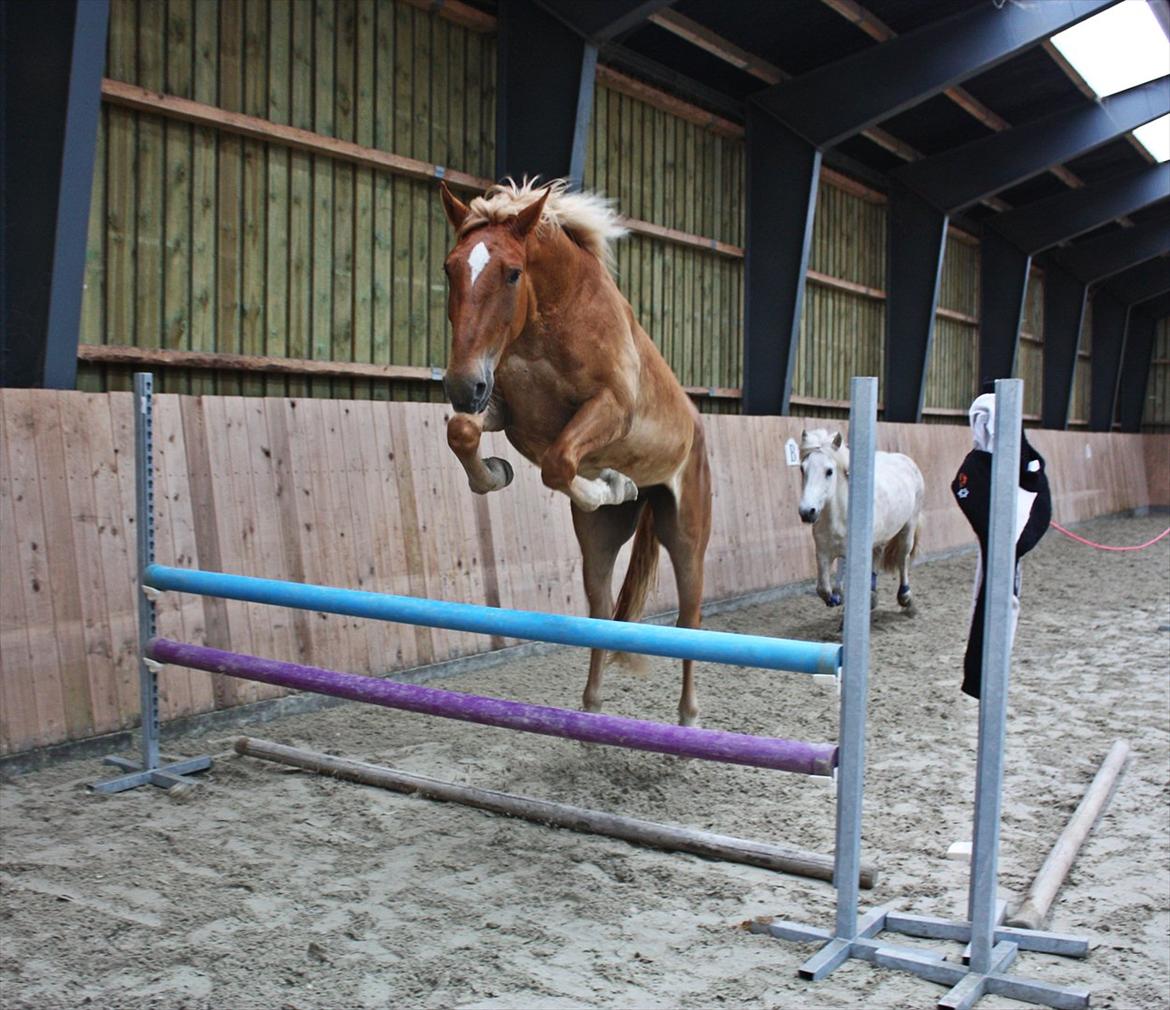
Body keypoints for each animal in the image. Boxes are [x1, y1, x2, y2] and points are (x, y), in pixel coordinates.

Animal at [439, 175, 711, 725]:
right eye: (449, 268)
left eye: (513, 273)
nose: (459, 385)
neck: (549, 323)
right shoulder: (500, 402)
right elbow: (463, 432)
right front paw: (495, 473)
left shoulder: (611, 408)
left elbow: (558, 461)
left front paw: (609, 484)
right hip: (599, 543)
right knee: (601, 609)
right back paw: (590, 712)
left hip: (687, 536)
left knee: (691, 618)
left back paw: (689, 719)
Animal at [800, 428, 926, 613]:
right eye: (803, 469)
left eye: (829, 471)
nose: (807, 512)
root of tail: (908, 461)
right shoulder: (822, 552)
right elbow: (823, 589)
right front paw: (836, 598)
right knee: (877, 555)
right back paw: (872, 596)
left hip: (908, 526)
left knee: (903, 557)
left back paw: (905, 597)